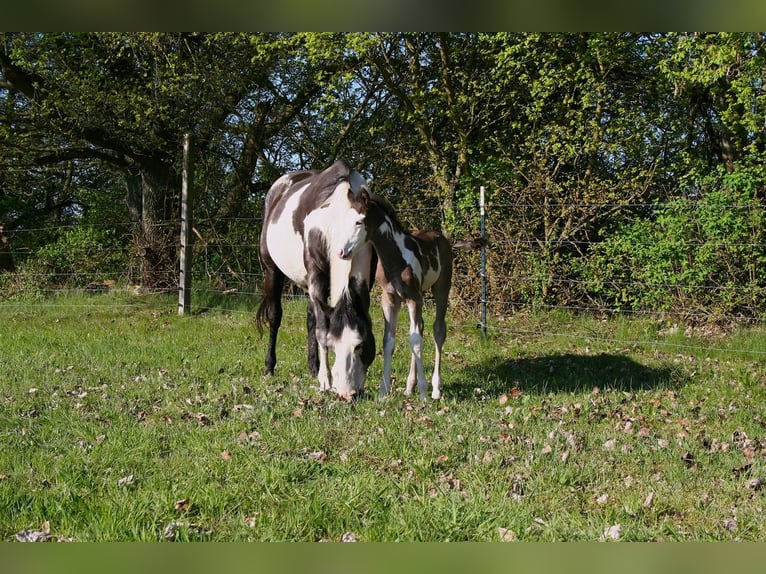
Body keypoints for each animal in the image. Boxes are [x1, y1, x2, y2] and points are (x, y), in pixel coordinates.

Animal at [255, 161, 377, 400]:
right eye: (332, 345)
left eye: (360, 345)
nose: (348, 393)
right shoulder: (317, 275)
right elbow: (321, 327)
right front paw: (325, 380)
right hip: (272, 271)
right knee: (275, 316)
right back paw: (269, 367)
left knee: (310, 315)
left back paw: (312, 366)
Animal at [362, 194, 484, 400]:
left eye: (360, 218)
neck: (395, 259)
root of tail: (445, 239)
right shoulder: (389, 298)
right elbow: (390, 341)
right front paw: (384, 392)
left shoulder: (413, 297)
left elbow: (416, 340)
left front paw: (423, 392)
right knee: (420, 327)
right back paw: (409, 386)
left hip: (441, 287)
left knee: (438, 330)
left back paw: (435, 388)